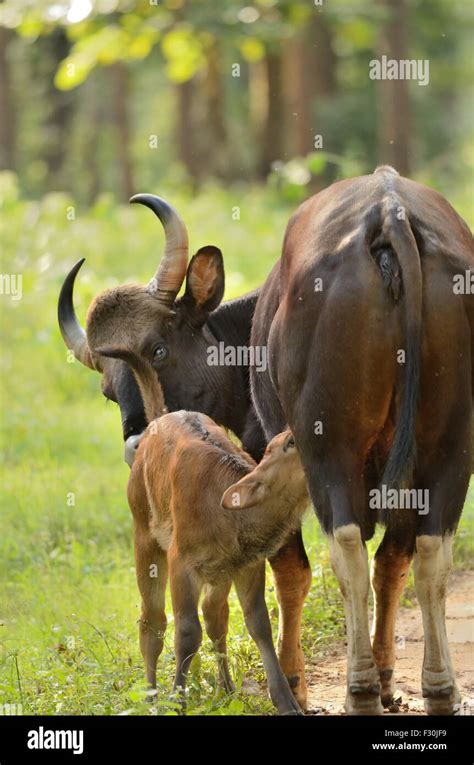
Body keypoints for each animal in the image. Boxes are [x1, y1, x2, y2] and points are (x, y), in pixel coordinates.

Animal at [98, 344, 310, 712]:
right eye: (289, 443)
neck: (230, 517)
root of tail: (158, 419)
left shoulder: (248, 565)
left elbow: (258, 624)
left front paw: (286, 702)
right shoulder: (181, 561)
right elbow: (186, 631)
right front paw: (176, 701)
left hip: (219, 572)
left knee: (216, 616)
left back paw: (226, 688)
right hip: (144, 538)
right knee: (152, 621)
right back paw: (151, 695)